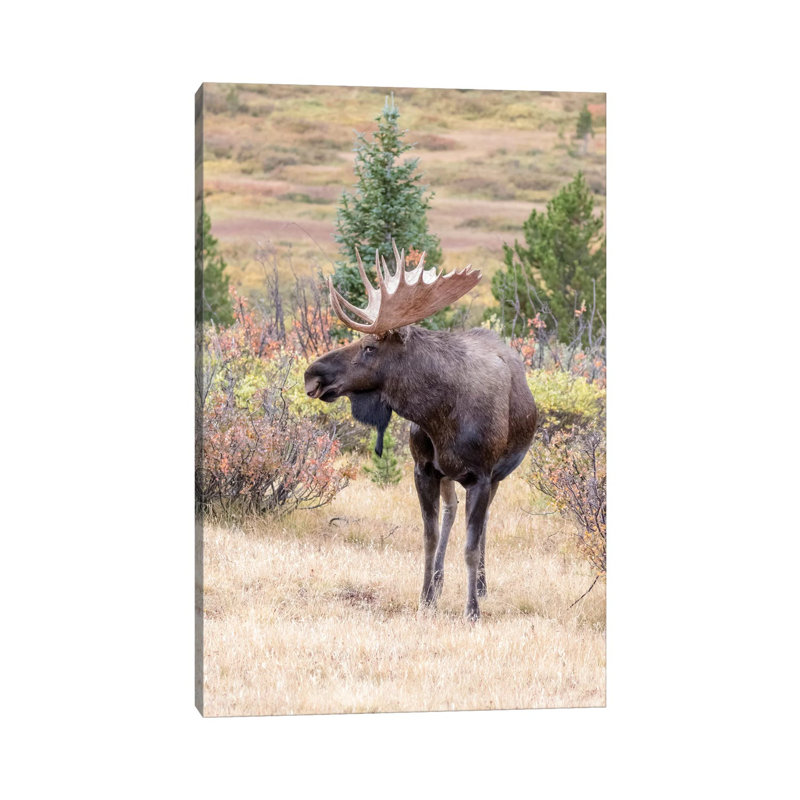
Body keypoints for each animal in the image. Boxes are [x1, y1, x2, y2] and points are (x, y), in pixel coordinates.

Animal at [304, 244, 538, 620]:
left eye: (370, 347)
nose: (312, 374)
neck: (440, 416)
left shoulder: (483, 474)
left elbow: (471, 546)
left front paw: (472, 610)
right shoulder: (423, 469)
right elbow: (429, 537)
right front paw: (426, 598)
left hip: (499, 473)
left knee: (483, 523)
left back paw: (482, 586)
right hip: (449, 475)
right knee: (452, 511)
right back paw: (441, 581)